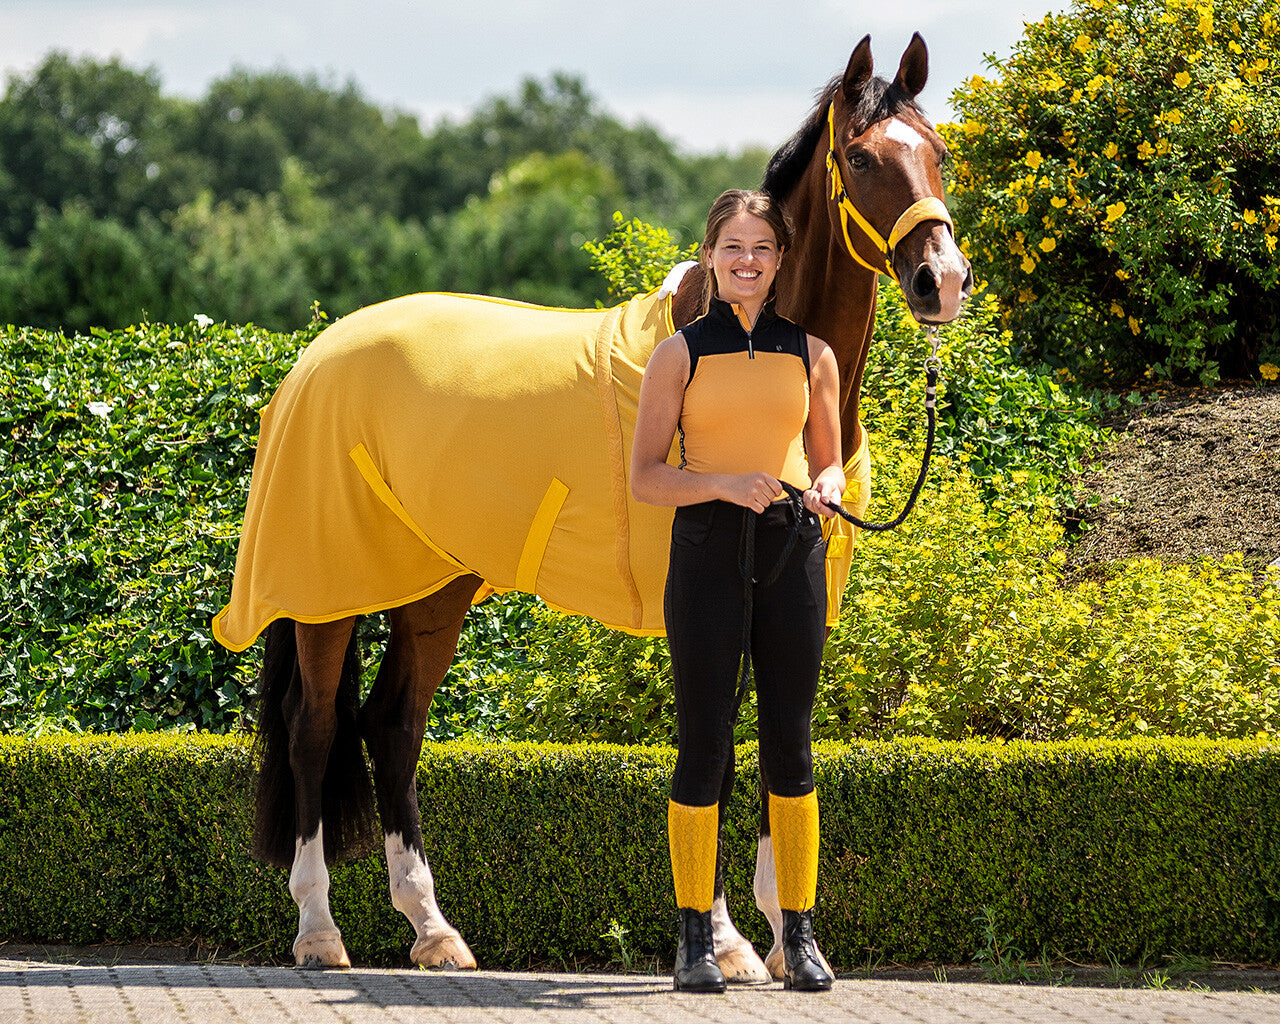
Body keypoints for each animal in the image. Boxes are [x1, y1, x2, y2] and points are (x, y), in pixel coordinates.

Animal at [212, 33, 972, 977]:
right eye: (863, 159)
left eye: (938, 151)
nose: (943, 280)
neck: (752, 342)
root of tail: (316, 355)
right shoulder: (703, 605)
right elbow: (715, 750)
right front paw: (725, 944)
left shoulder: (791, 604)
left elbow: (771, 747)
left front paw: (780, 939)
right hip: (326, 590)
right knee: (315, 727)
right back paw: (320, 931)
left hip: (434, 585)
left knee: (392, 725)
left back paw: (434, 930)